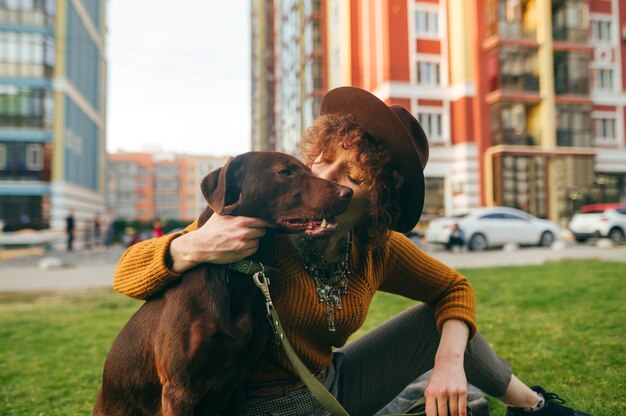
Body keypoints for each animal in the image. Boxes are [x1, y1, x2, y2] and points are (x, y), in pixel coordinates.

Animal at [92, 152, 352, 416]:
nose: (348, 192)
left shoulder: (238, 384)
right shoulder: (179, 390)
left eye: (309, 171)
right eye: (285, 172)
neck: (233, 274)